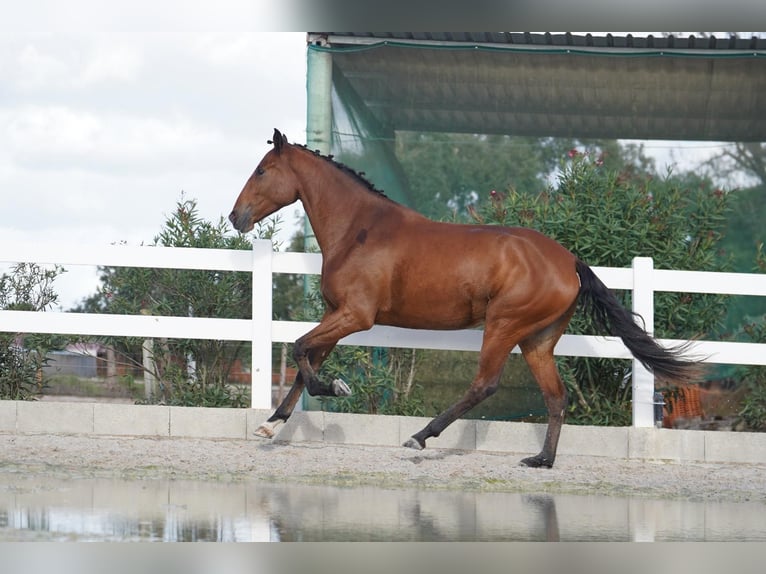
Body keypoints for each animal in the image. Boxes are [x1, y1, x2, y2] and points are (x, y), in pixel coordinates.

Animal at [226, 129, 704, 468]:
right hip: (538, 339)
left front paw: (334, 388)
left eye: (263, 170)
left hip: (504, 325)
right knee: (556, 396)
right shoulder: (336, 314)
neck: (359, 229)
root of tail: (570, 261)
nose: (235, 217)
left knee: (485, 384)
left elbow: (299, 348)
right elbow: (306, 361)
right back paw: (541, 460)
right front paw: (271, 425)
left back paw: (420, 437)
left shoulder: (356, 316)